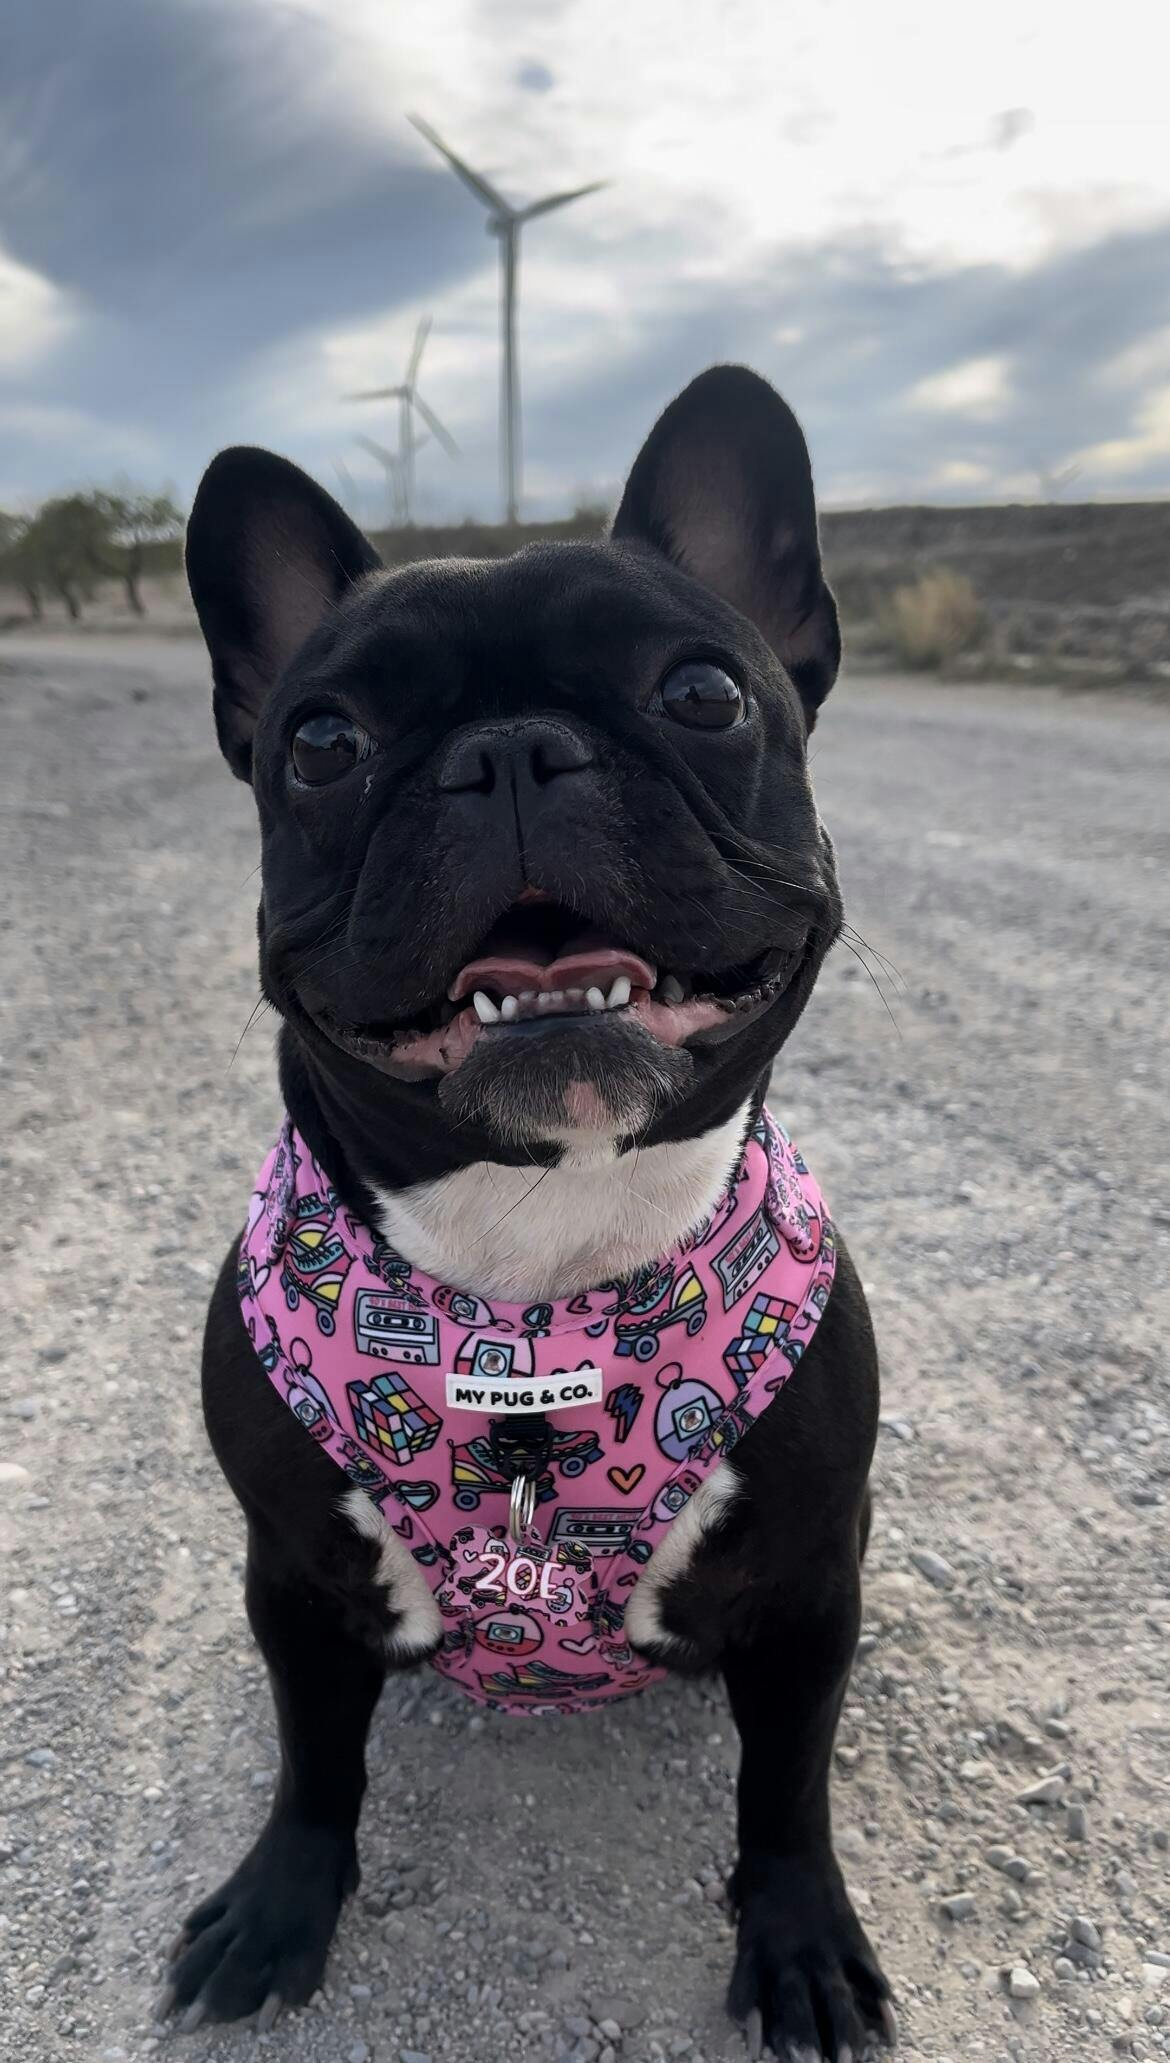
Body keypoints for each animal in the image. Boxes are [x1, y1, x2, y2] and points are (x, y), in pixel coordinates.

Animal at [159, 365, 894, 2058]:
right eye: (322, 740)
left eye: (703, 695)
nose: (504, 752)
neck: (540, 1248)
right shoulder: (292, 1572)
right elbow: (314, 1757)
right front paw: (279, 1905)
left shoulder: (811, 1581)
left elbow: (787, 1789)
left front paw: (800, 1940)